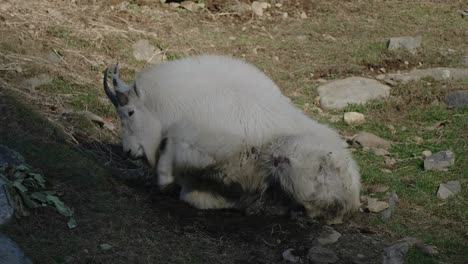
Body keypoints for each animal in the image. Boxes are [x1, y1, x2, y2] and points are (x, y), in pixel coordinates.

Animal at [103, 54, 362, 224]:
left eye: (130, 112)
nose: (128, 151)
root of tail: (354, 190)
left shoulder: (214, 147)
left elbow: (171, 159)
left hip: (292, 160)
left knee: (314, 209)